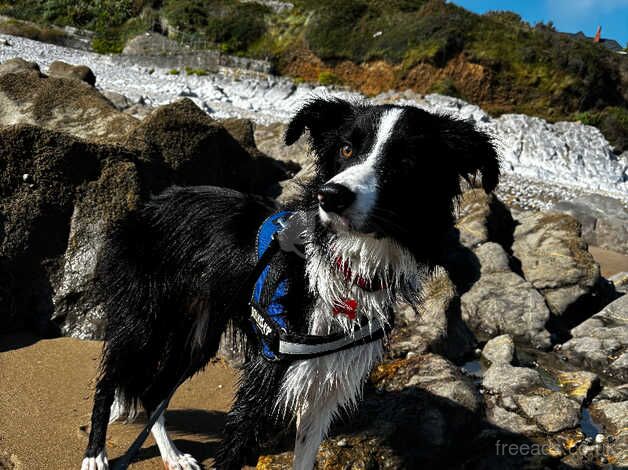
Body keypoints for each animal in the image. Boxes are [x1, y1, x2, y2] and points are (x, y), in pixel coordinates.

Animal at [81, 97, 498, 468]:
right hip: (144, 320)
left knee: (155, 391)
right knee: (109, 382)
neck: (345, 264)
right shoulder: (265, 377)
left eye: (406, 161)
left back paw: (172, 455)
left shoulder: (326, 386)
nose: (331, 196)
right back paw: (95, 455)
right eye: (347, 148)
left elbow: (305, 456)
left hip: (198, 332)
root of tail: (146, 208)